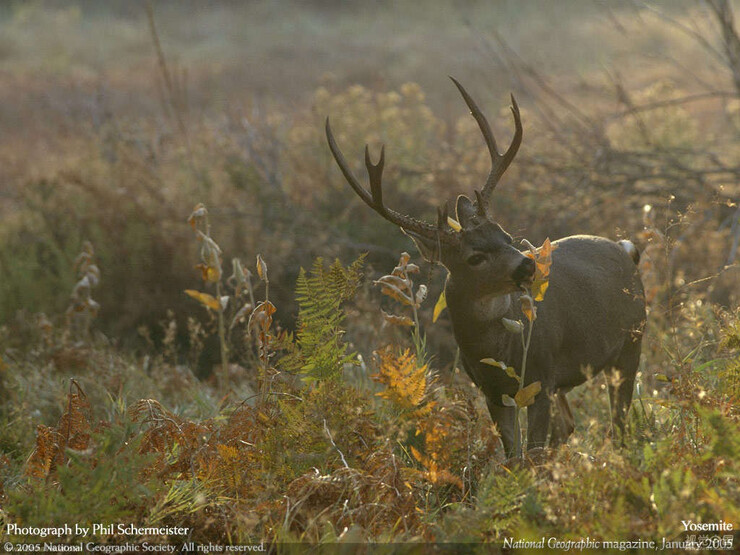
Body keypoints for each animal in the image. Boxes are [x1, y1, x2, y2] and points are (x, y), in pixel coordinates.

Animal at [324, 78, 640, 460]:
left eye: (507, 236)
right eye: (475, 257)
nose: (528, 265)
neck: (496, 350)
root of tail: (626, 249)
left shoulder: (541, 376)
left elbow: (531, 455)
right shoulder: (494, 394)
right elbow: (514, 458)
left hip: (631, 344)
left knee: (618, 424)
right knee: (569, 426)